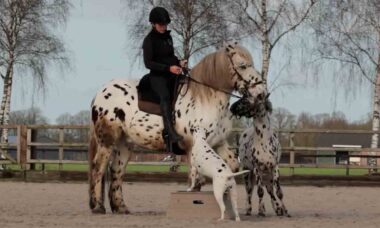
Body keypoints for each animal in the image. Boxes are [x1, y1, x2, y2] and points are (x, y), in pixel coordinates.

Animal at [88, 42, 268, 214]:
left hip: (124, 144)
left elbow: (232, 166)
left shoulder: (218, 143)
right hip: (107, 141)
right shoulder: (192, 146)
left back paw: (120, 208)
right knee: (98, 167)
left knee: (116, 171)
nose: (261, 92)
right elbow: (196, 177)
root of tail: (101, 92)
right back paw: (98, 207)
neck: (205, 98)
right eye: (243, 65)